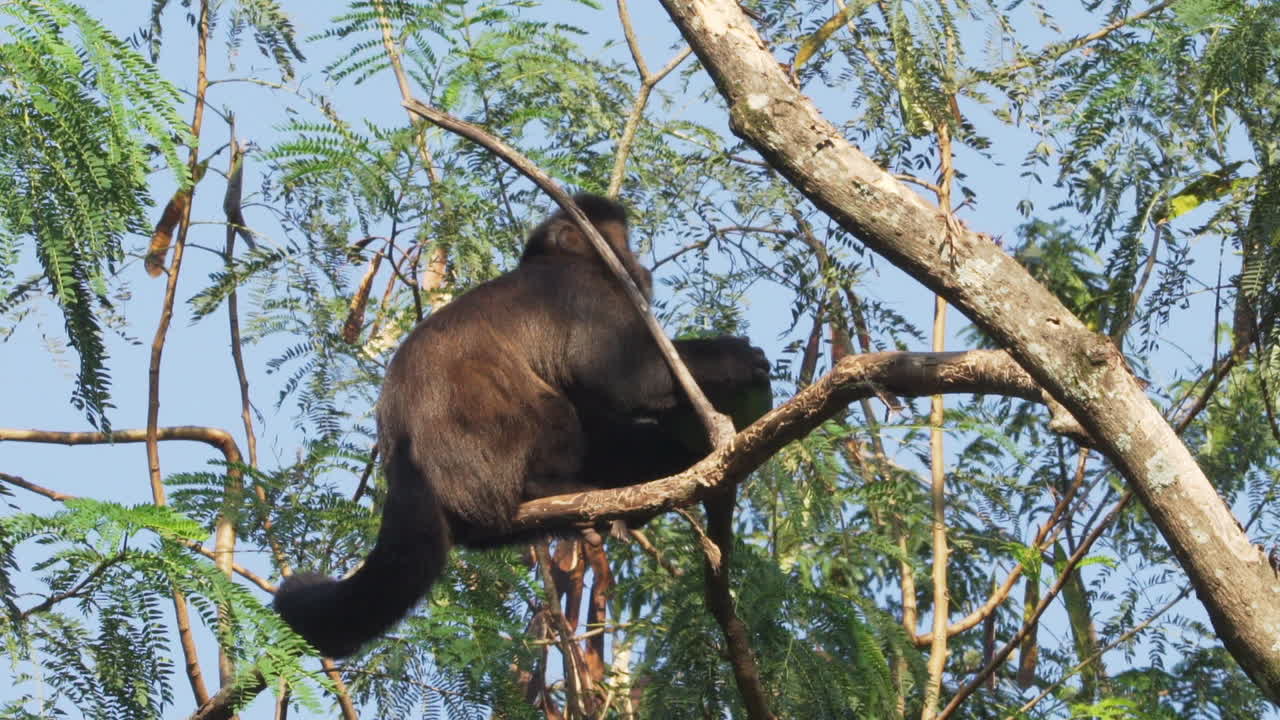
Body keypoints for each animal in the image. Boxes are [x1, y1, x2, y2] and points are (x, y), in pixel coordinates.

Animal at [273, 194, 771, 659]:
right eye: (626, 244)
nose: (641, 268)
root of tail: (406, 462)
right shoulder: (587, 295)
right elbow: (633, 382)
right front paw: (734, 358)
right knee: (553, 409)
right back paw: (548, 487)